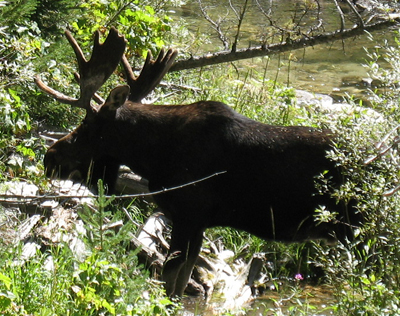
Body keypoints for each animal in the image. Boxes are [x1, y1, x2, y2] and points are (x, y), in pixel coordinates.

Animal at [36, 28, 362, 298]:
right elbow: (183, 281)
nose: (50, 156)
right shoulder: (200, 223)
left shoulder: (187, 214)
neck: (152, 155)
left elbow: (169, 279)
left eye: (85, 126)